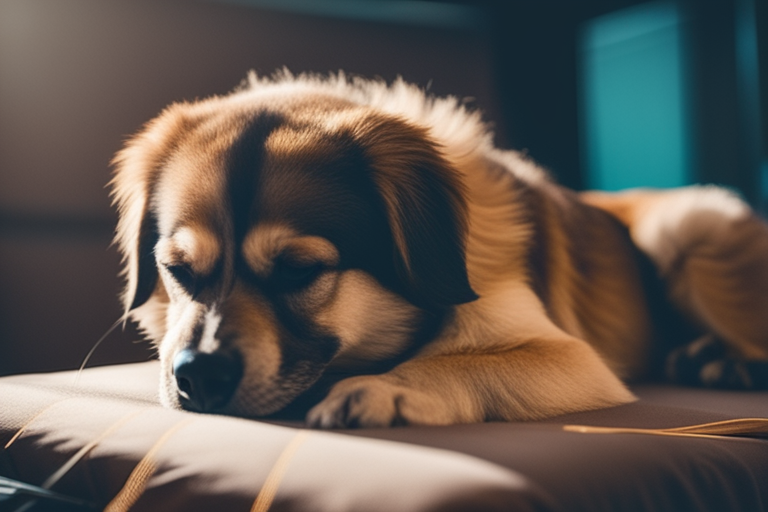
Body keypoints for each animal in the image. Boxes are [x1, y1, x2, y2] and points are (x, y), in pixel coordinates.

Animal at [111, 70, 768, 426]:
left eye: (300, 271)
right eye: (177, 271)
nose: (197, 377)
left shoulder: (574, 361)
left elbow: (457, 363)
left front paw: (386, 387)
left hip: (687, 231)